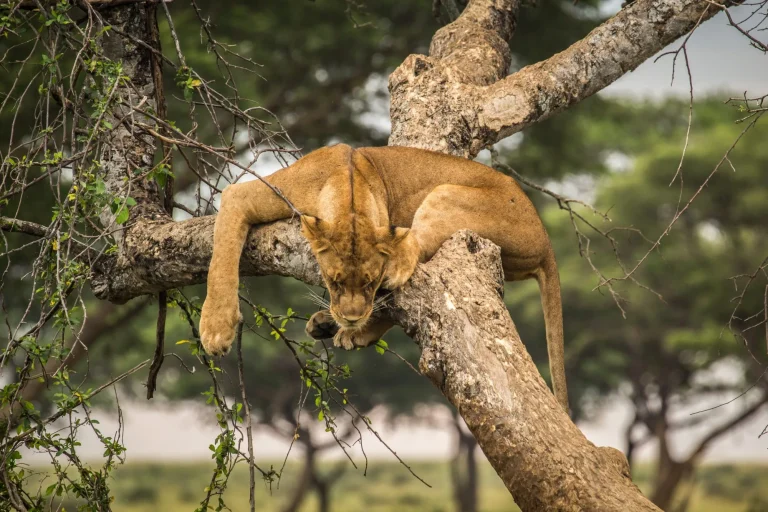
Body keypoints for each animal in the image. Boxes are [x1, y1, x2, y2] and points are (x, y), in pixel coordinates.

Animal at [199, 144, 569, 411]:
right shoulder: (245, 195)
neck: (348, 186)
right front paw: (217, 327)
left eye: (370, 283)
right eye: (333, 281)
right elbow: (223, 250)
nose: (351, 317)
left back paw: (352, 326)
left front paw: (214, 330)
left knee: (414, 251)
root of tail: (546, 239)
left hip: (446, 195)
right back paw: (332, 325)